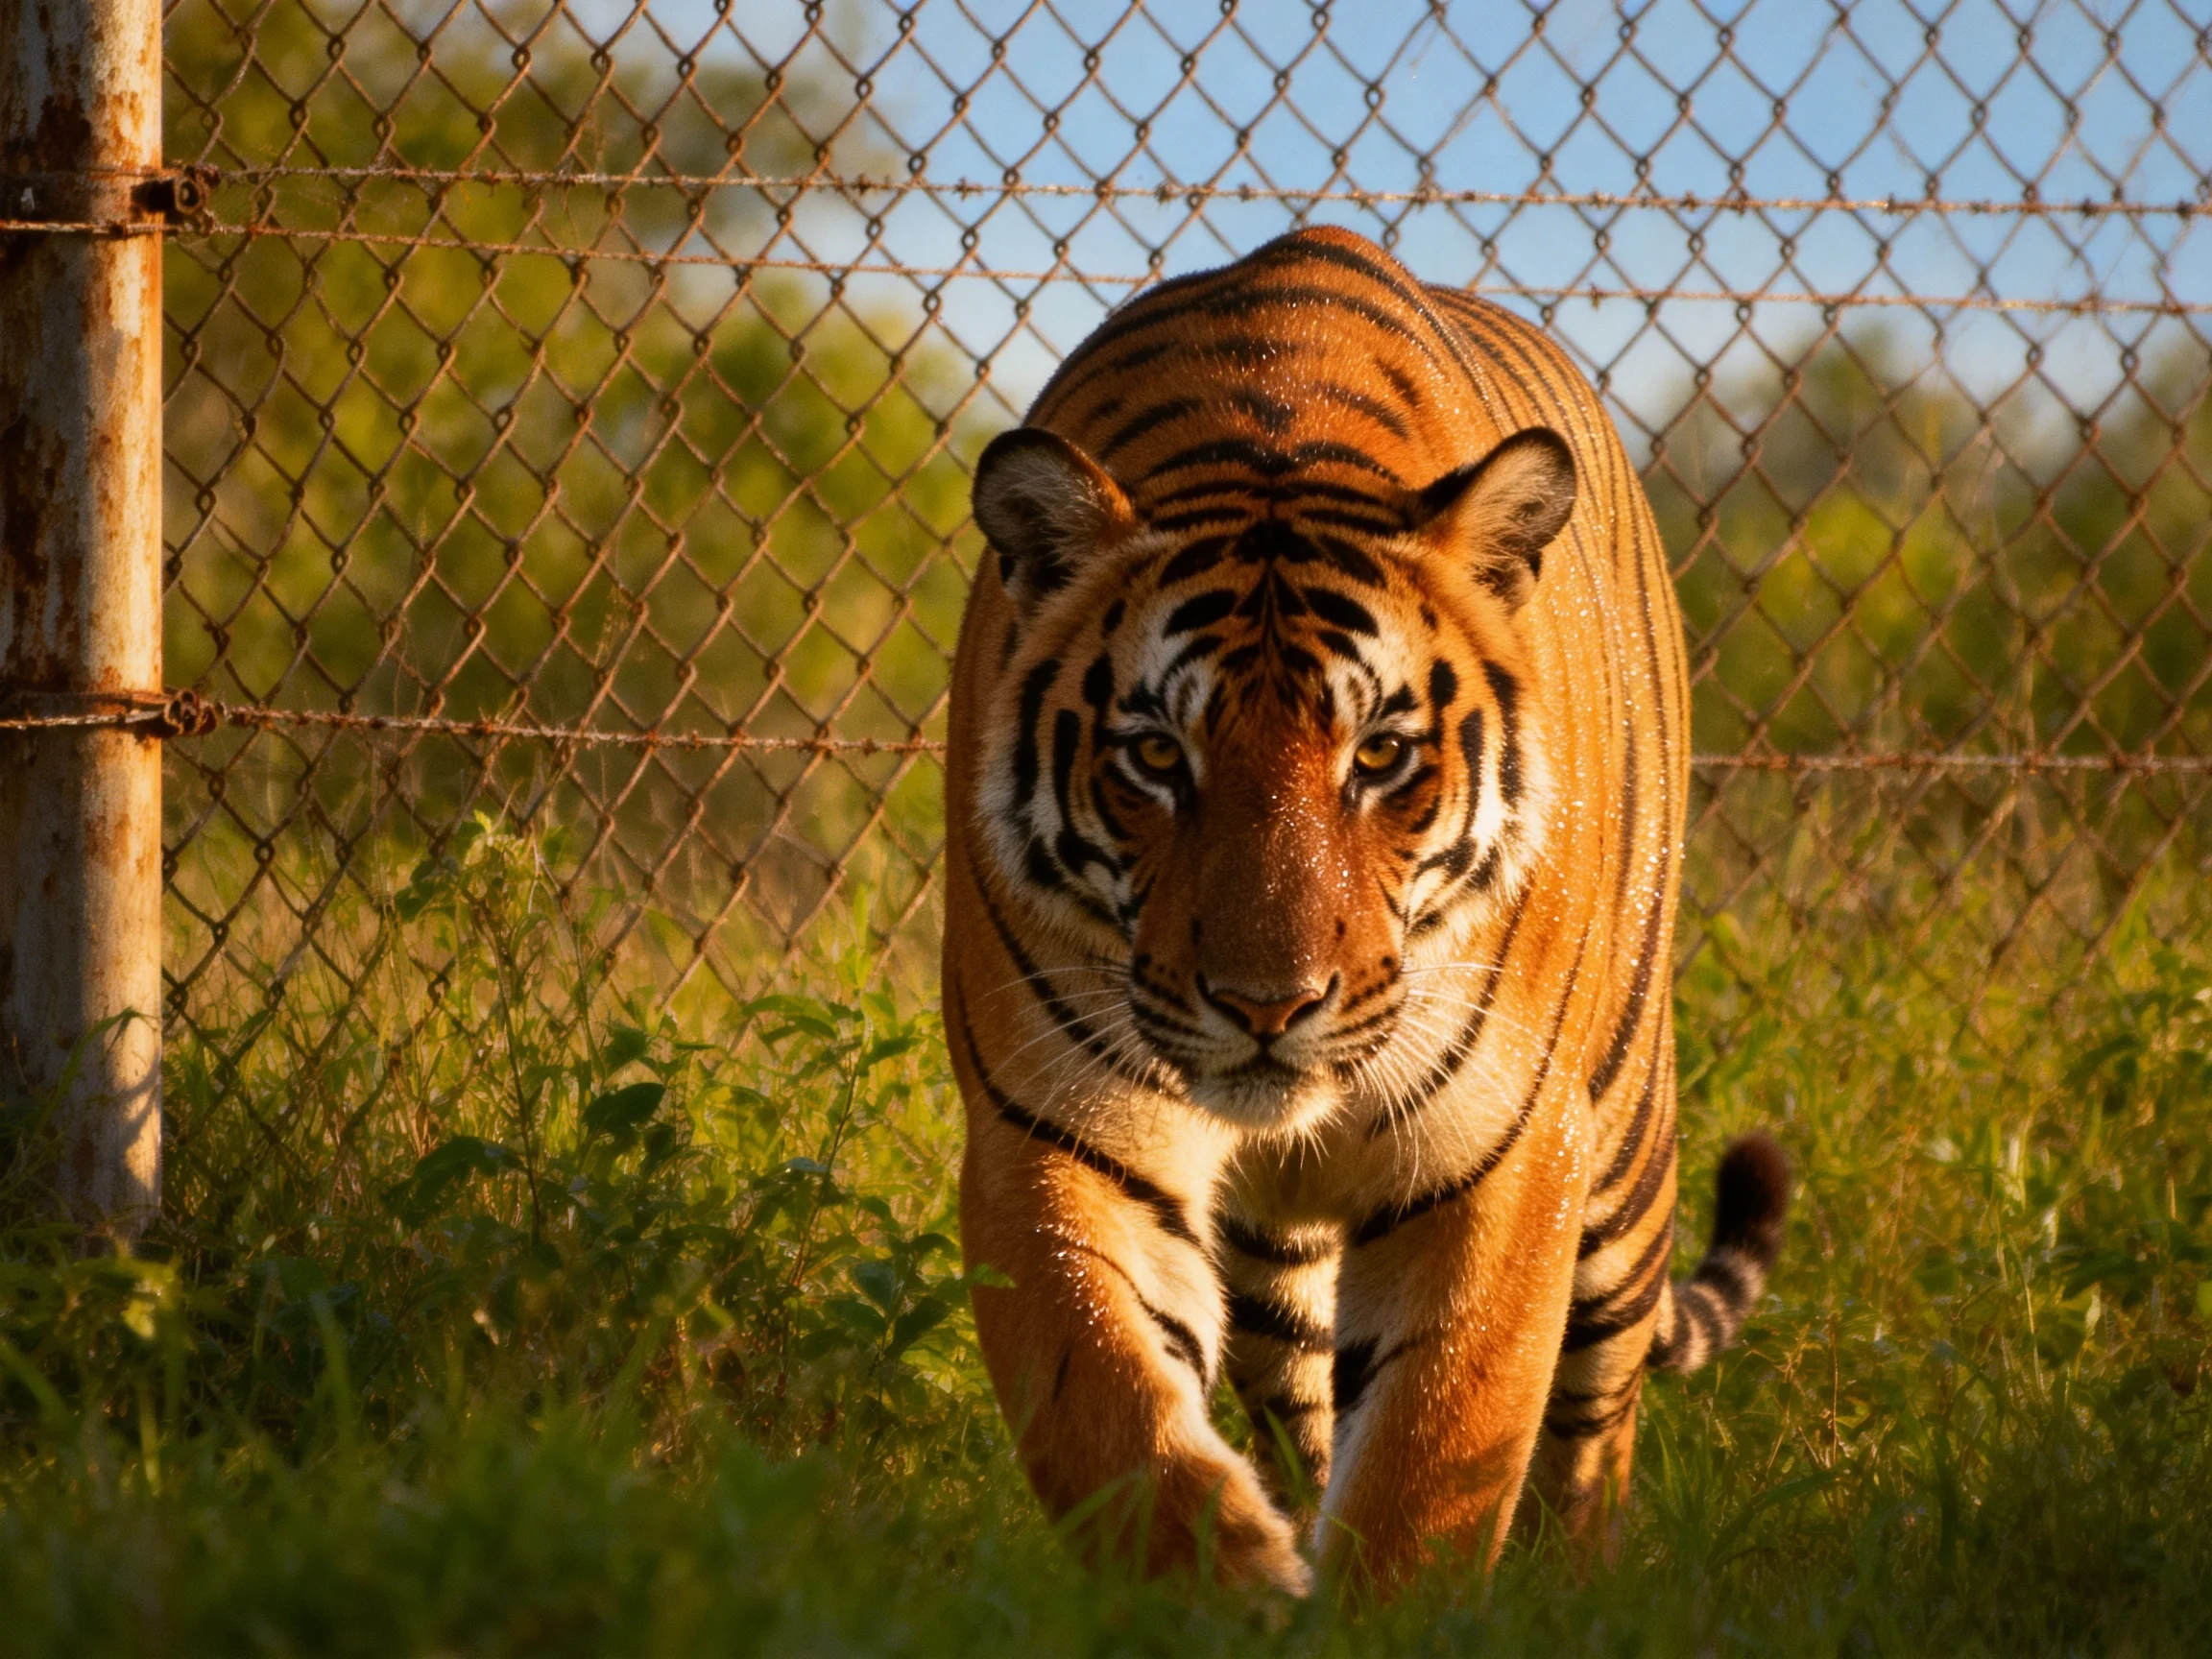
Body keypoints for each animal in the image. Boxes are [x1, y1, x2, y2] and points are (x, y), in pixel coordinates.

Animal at [942, 225, 1788, 1595]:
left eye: (1381, 755)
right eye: (1157, 756)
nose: (1267, 1006)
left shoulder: (1503, 1151)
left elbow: (1437, 1458)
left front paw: (1377, 1610)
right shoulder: (1053, 1130)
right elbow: (1111, 1413)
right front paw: (1233, 1588)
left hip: (1624, 1153)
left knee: (1594, 1428)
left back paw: (1578, 1581)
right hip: (1282, 1258)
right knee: (1300, 1389)